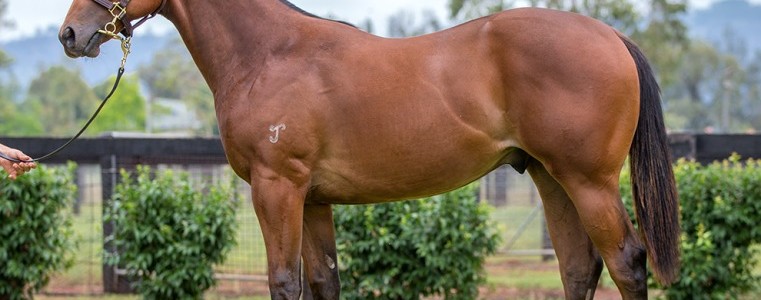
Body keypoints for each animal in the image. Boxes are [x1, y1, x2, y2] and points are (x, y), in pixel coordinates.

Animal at [59, 1, 676, 298]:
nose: (70, 33)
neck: (271, 54)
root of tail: (610, 36)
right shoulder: (311, 200)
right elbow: (324, 280)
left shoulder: (277, 188)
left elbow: (285, 282)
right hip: (552, 179)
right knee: (578, 268)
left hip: (588, 181)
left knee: (626, 261)